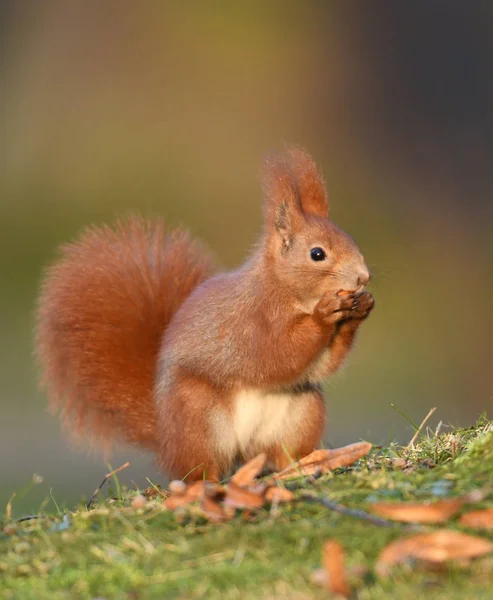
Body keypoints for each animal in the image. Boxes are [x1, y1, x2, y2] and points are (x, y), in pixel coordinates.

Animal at [34, 146, 372, 482]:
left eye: (351, 240)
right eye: (317, 254)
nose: (363, 277)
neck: (286, 290)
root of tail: (166, 438)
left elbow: (321, 365)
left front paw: (359, 309)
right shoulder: (252, 320)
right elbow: (275, 353)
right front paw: (324, 314)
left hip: (301, 412)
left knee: (282, 452)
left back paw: (302, 465)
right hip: (198, 416)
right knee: (200, 467)